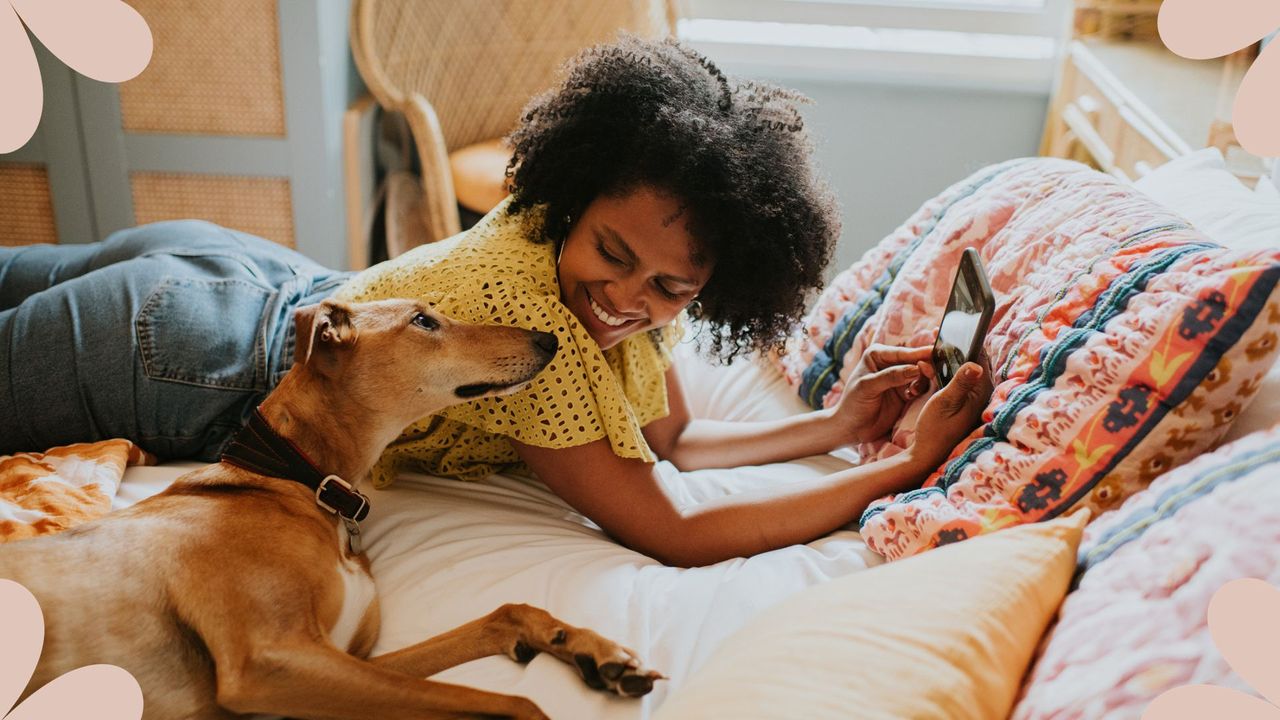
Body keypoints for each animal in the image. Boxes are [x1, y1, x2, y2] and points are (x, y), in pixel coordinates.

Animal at [0, 298, 660, 717]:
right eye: (424, 320)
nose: (549, 339)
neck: (295, 481)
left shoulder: (343, 658)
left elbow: (503, 614)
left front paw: (590, 648)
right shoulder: (270, 662)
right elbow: (512, 703)